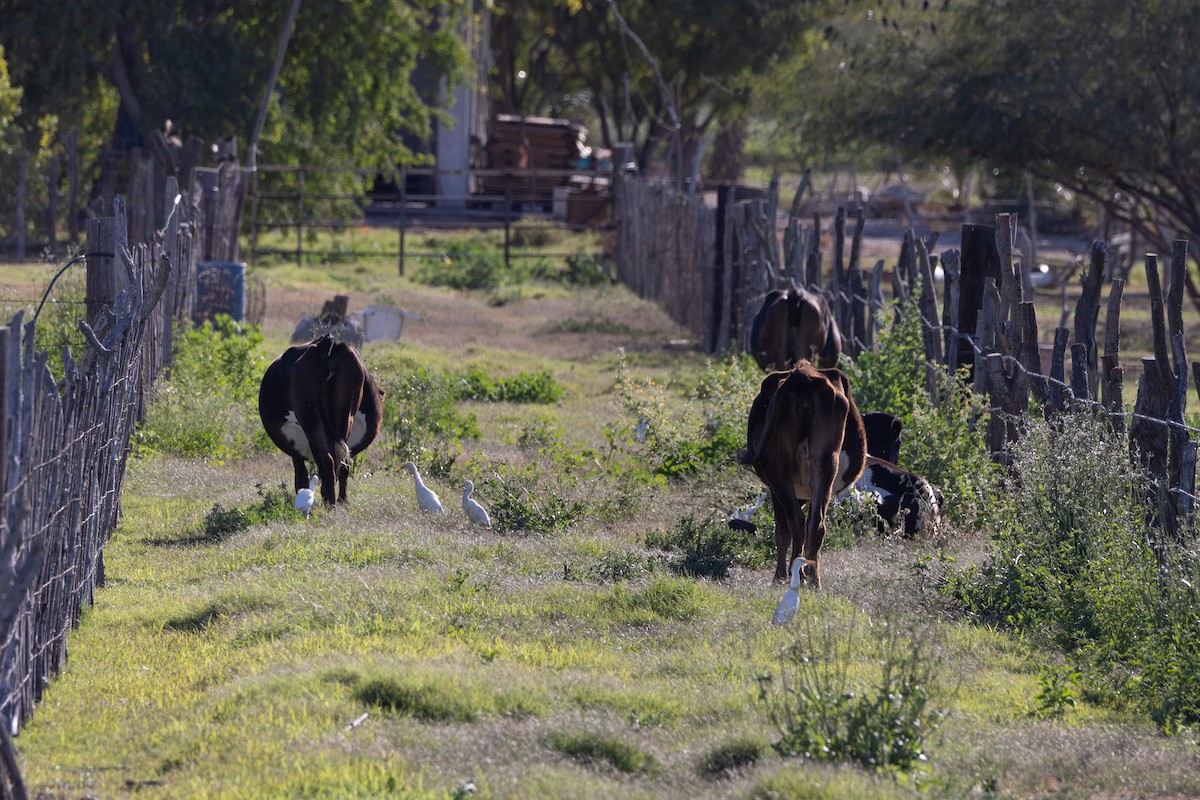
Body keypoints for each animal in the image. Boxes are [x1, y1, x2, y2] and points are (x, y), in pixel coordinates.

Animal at [260, 338, 381, 506]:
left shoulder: (296, 450)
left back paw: (330, 503)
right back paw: (341, 500)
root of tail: (328, 341)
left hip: (312, 422)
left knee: (327, 462)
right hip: (345, 418)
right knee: (342, 462)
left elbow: (301, 478)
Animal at [734, 362, 868, 587]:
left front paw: (782, 575)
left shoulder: (775, 488)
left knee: (796, 524)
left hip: (778, 469)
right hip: (825, 463)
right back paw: (813, 580)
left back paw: (789, 575)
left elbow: (782, 530)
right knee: (816, 525)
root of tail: (805, 374)